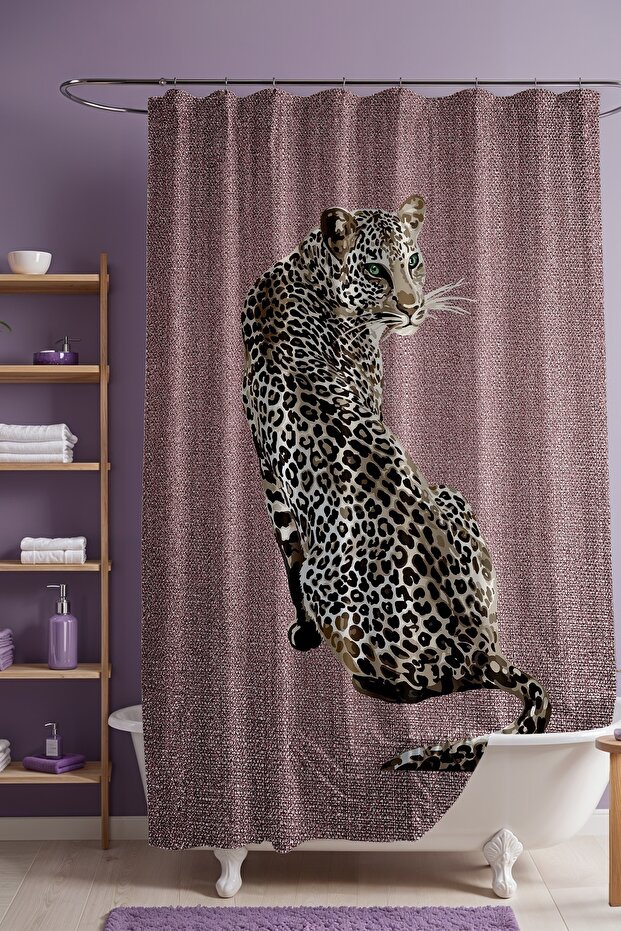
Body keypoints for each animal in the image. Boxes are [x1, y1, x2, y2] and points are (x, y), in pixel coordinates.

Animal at [241, 194, 551, 772]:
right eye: (374, 270)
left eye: (414, 261)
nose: (413, 307)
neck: (304, 271)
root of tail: (477, 648)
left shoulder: (272, 474)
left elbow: (288, 553)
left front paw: (301, 631)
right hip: (453, 498)